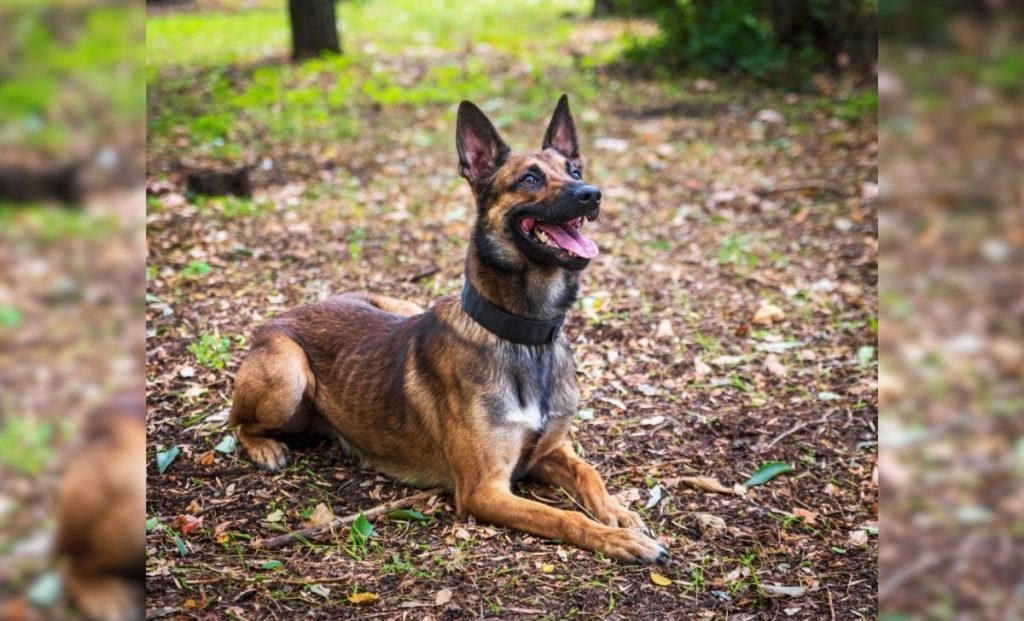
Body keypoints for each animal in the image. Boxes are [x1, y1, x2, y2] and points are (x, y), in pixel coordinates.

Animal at [228, 96, 667, 565]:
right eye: (530, 178)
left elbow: (590, 473)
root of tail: (285, 313)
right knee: (237, 422)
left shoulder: (548, 451)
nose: (592, 195)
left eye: (576, 172)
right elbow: (563, 517)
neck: (525, 337)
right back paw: (266, 448)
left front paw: (621, 514)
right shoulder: (484, 490)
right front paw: (619, 539)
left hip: (398, 306)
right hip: (287, 377)